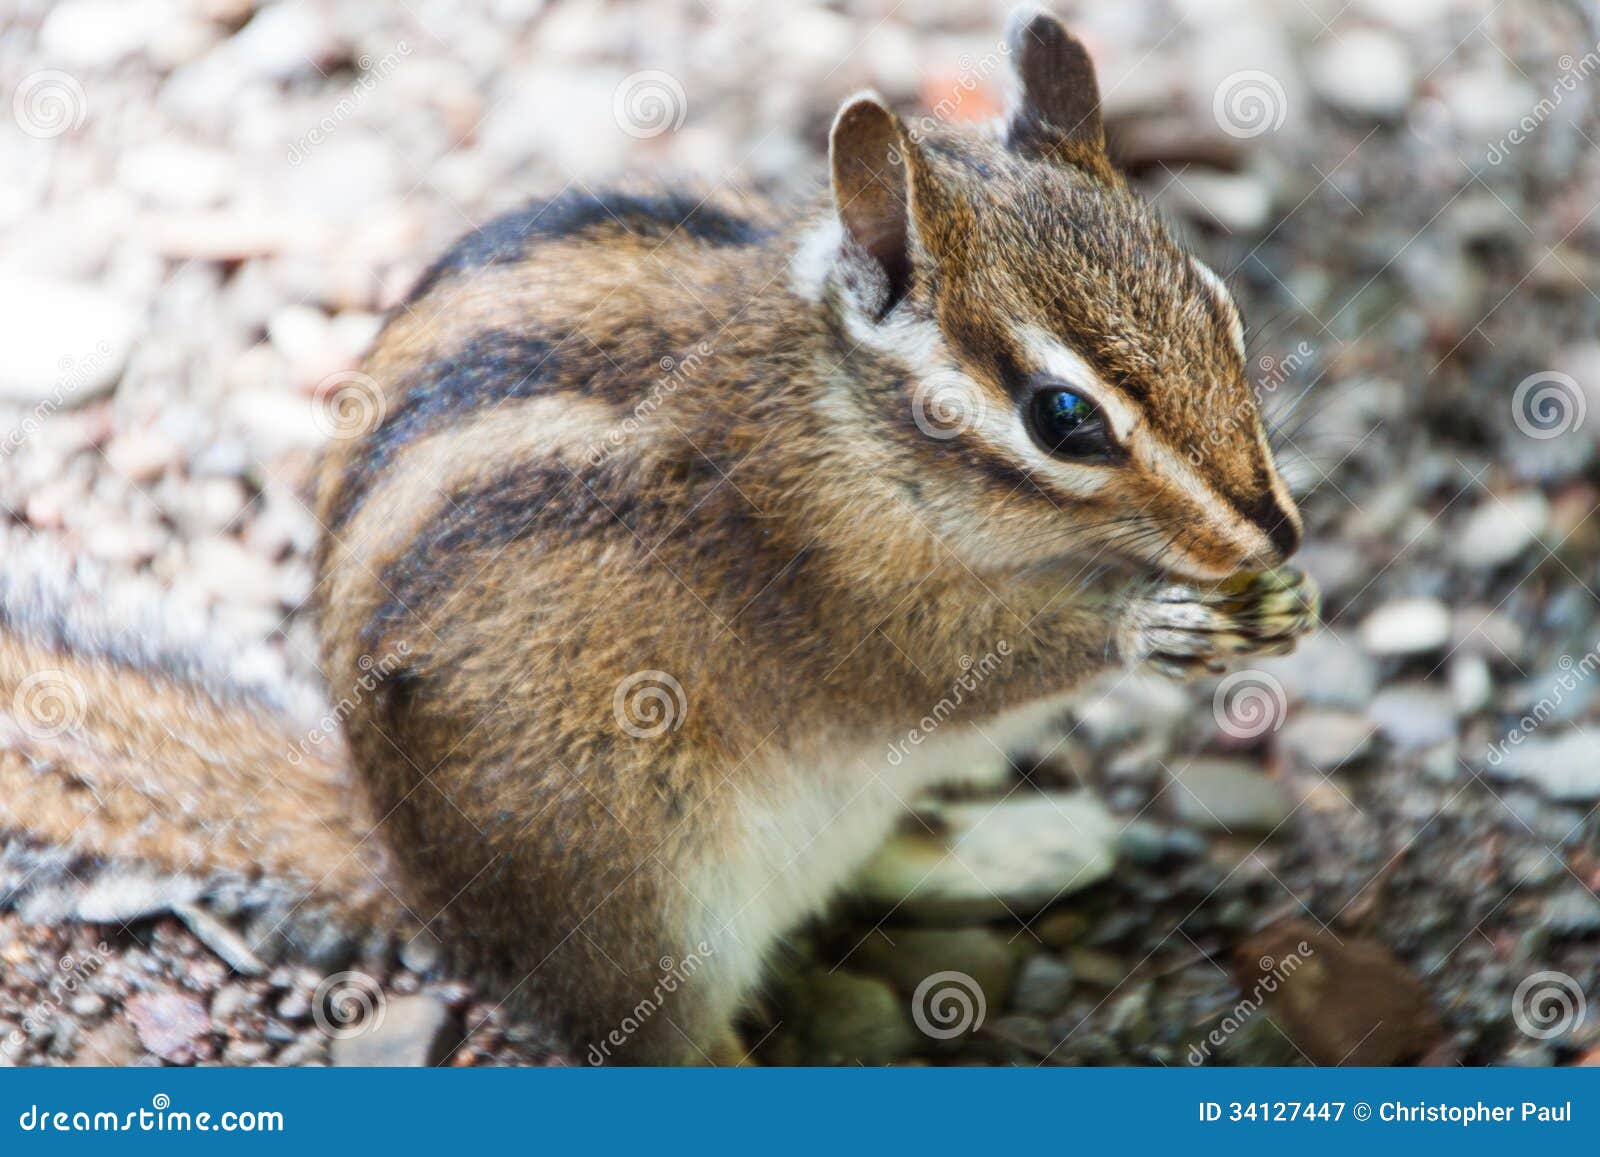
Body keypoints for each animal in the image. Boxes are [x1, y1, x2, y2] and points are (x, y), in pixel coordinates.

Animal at [0, 9, 1314, 1065]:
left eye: (1222, 311)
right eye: (1063, 418)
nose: (1275, 533)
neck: (846, 417)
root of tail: (417, 883)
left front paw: (1275, 603)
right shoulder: (836, 589)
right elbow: (952, 660)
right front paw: (1160, 618)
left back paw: (999, 842)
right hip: (633, 897)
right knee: (661, 1042)